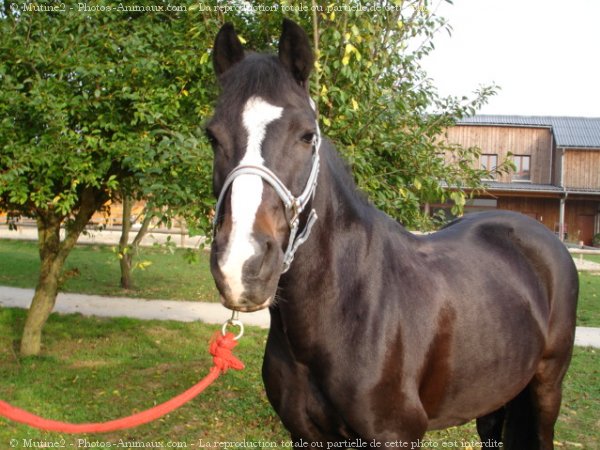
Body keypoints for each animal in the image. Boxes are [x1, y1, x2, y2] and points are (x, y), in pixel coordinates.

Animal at [206, 19, 576, 448]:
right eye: (212, 136)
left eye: (306, 136)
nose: (242, 266)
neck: (348, 307)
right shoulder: (305, 435)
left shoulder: (396, 434)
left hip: (546, 391)